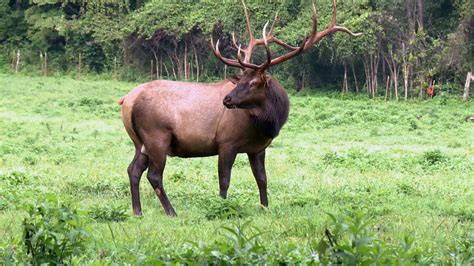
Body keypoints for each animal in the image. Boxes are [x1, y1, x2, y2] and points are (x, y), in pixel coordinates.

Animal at [118, 0, 360, 216]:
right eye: (240, 79)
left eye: (252, 82)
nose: (227, 99)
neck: (266, 124)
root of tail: (126, 100)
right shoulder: (226, 142)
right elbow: (224, 180)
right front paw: (221, 208)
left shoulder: (258, 148)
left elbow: (262, 179)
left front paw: (265, 208)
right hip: (157, 136)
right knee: (154, 175)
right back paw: (171, 212)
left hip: (140, 141)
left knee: (133, 170)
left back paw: (137, 211)